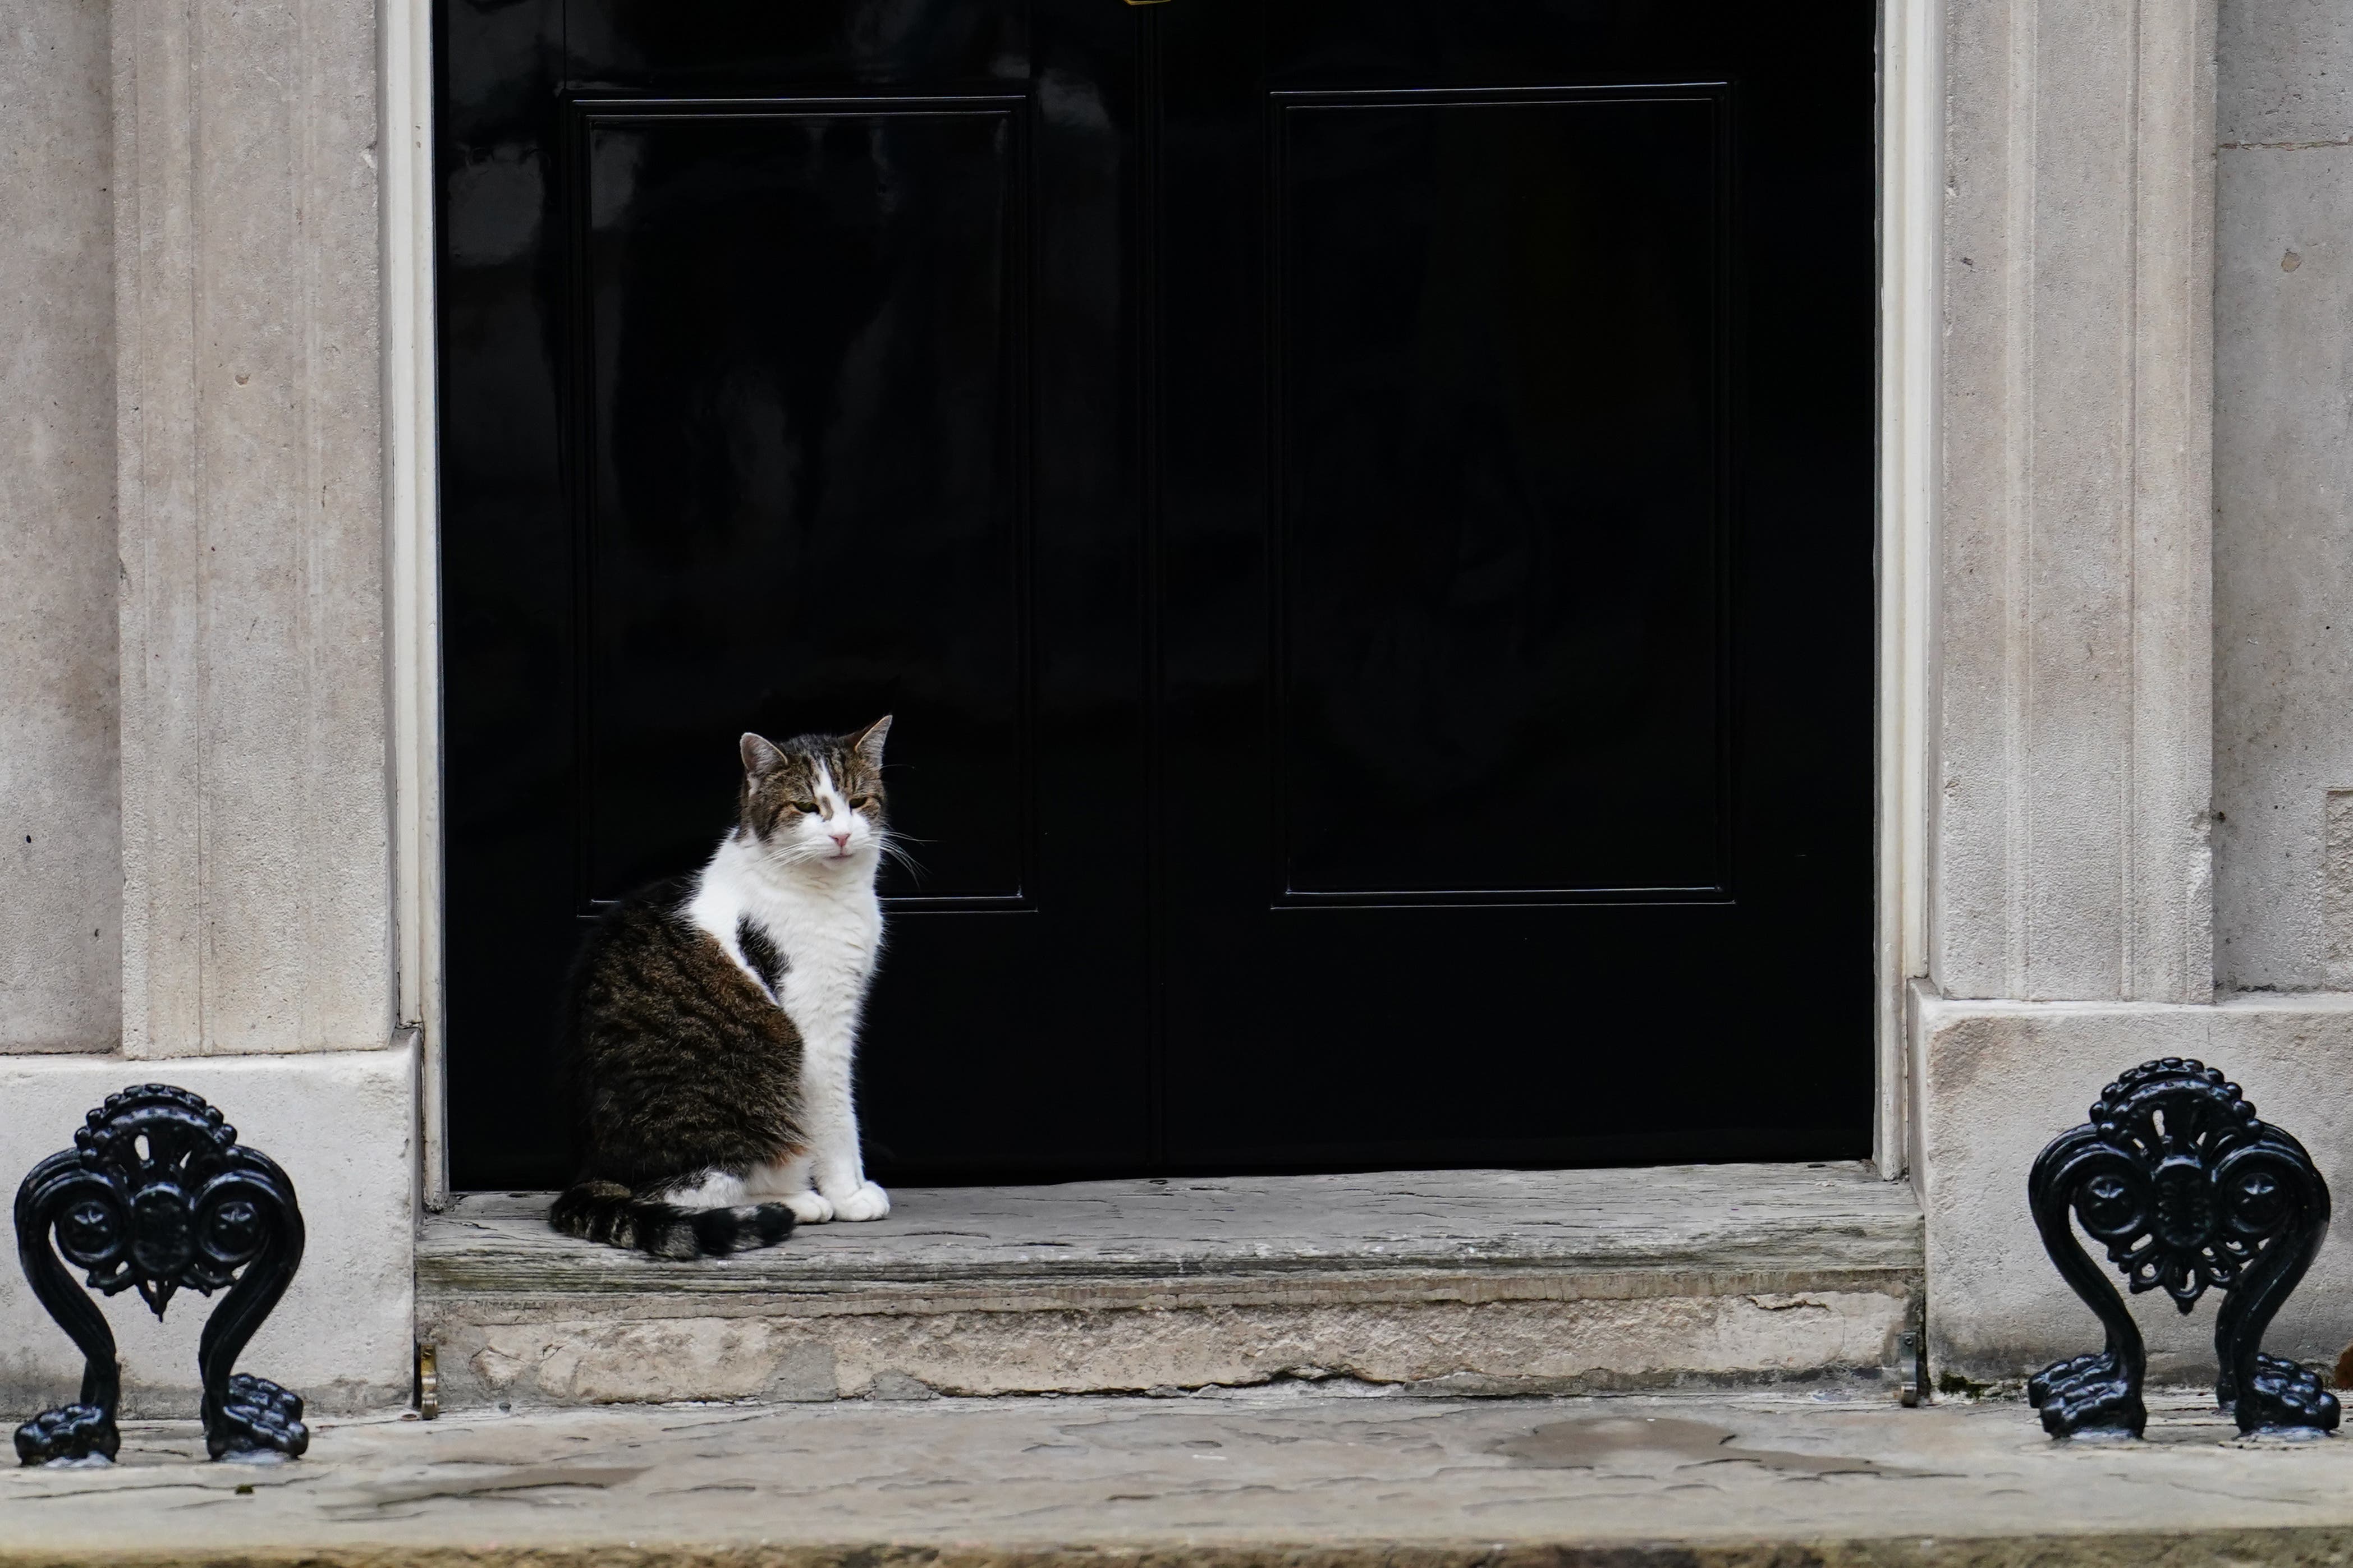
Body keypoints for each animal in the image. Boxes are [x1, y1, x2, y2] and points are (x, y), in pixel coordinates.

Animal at [545, 719, 894, 1260]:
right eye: (806, 807)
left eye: (858, 801)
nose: (840, 834)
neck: (832, 892)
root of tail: (592, 1170)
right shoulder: (818, 1028)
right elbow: (838, 1119)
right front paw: (849, 1195)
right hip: (758, 1081)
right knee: (682, 1189)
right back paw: (796, 1200)